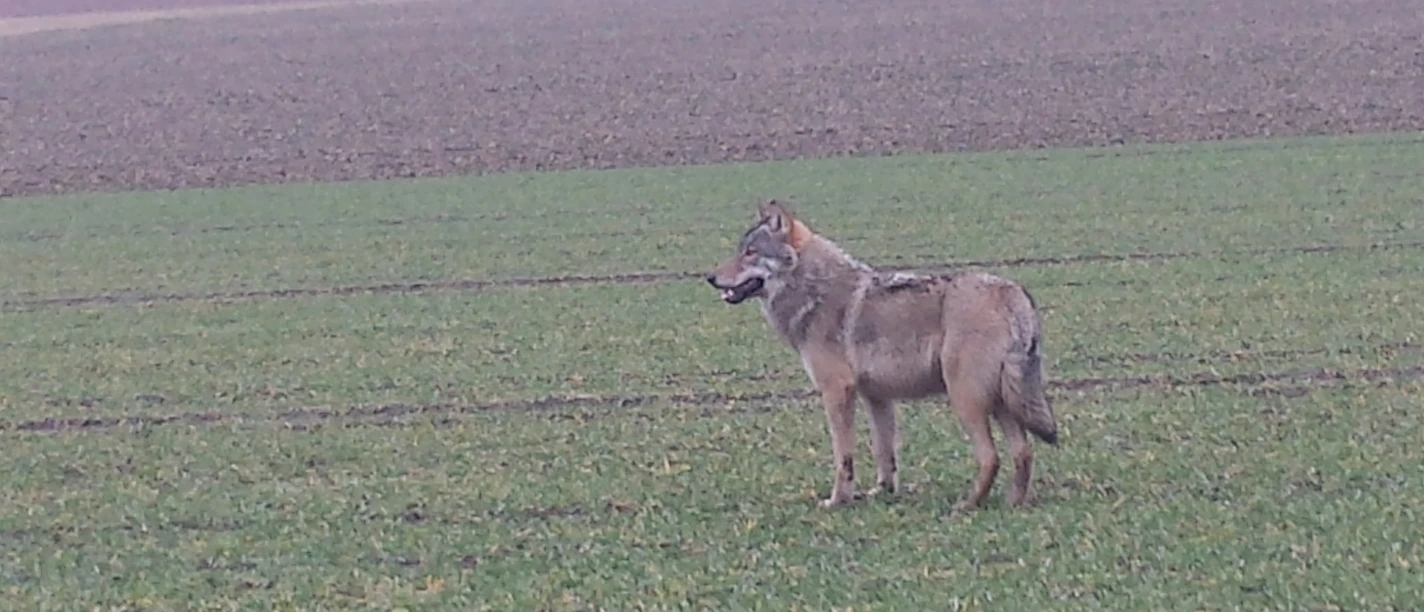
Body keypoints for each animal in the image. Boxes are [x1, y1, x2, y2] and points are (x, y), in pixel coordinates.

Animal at [705, 200, 1059, 511]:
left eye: (751, 252)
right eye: (740, 250)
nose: (710, 277)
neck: (812, 291)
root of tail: (1013, 293)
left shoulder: (837, 392)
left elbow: (843, 457)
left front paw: (838, 500)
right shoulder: (877, 398)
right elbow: (884, 454)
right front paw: (882, 492)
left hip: (966, 402)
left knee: (990, 457)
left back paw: (968, 505)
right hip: (1001, 402)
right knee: (1023, 451)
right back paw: (1013, 503)